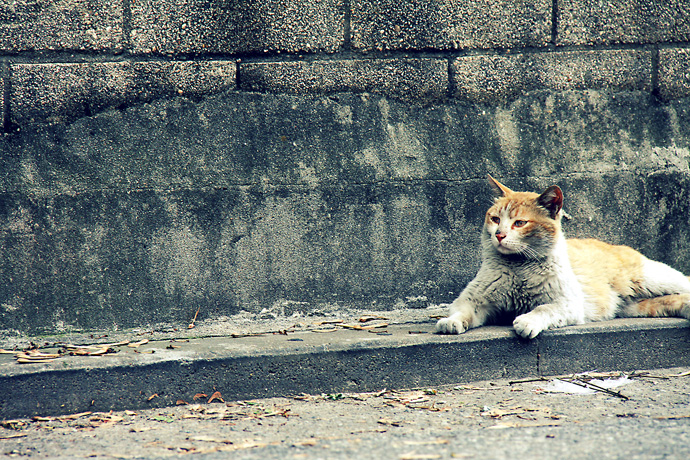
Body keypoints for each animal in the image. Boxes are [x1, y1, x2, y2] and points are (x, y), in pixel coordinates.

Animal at [436, 175, 688, 338]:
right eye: (495, 219)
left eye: (520, 223)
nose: (499, 234)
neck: (518, 268)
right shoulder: (472, 300)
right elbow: (462, 311)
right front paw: (451, 322)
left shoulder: (567, 304)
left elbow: (543, 309)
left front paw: (527, 320)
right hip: (638, 305)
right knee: (673, 301)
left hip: (654, 278)